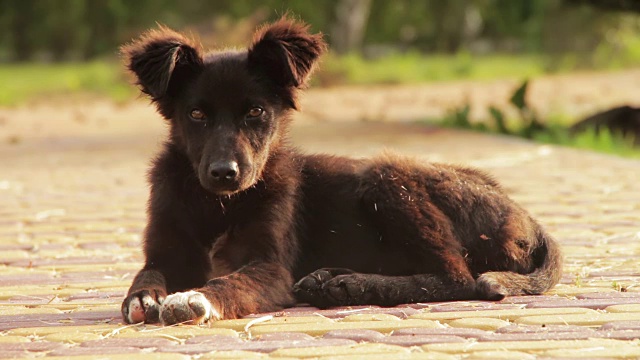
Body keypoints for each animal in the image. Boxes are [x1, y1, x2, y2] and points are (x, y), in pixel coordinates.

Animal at [120, 17, 560, 326]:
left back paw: (350, 285)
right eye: (196, 115)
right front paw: (144, 297)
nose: (224, 173)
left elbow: (230, 281)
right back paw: (329, 280)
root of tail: (532, 222)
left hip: (386, 176)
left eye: (256, 112)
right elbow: (146, 275)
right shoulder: (166, 251)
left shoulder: (271, 266)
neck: (217, 205)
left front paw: (196, 298)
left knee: (458, 276)